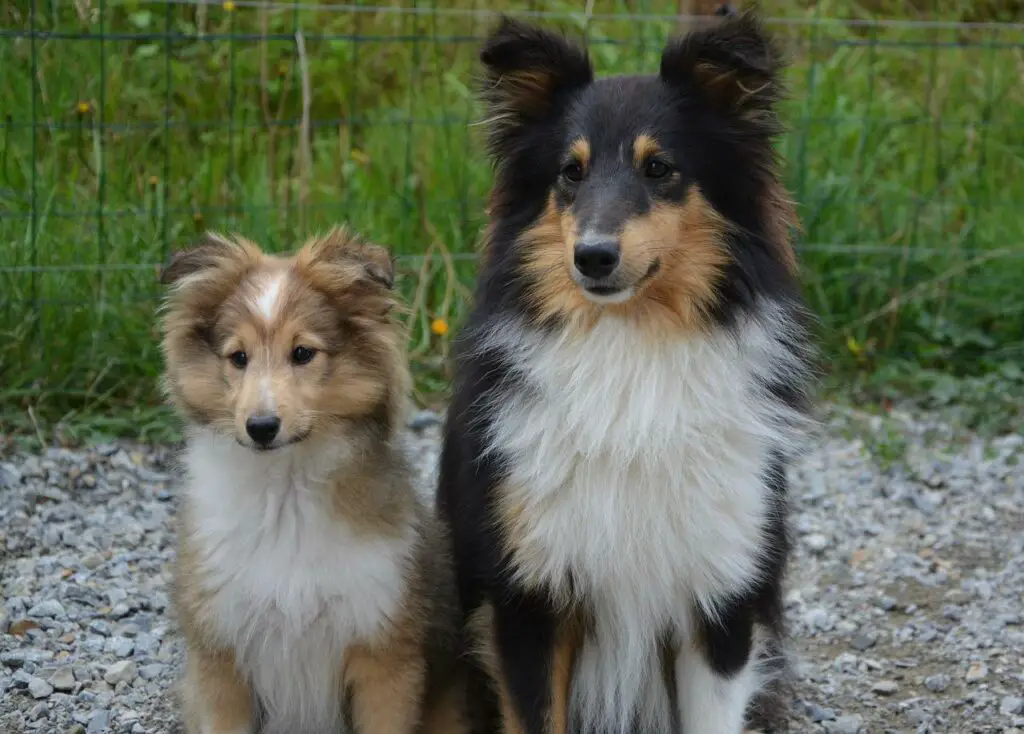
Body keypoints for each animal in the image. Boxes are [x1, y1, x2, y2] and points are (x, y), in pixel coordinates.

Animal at [159, 229, 468, 732]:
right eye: (238, 358)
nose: (261, 427)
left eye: (303, 353)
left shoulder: (384, 656)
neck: (284, 492)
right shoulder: (221, 657)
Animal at [438, 10, 815, 732]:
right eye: (570, 172)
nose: (593, 258)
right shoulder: (530, 596)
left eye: (659, 167)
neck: (632, 346)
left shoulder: (720, 596)